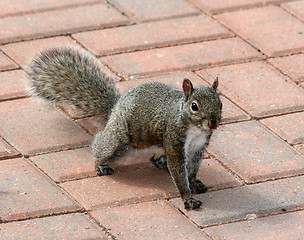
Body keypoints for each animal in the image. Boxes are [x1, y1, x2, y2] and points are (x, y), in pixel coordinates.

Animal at [28, 46, 222, 209]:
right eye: (194, 106)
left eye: (220, 103)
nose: (213, 122)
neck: (196, 129)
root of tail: (115, 108)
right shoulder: (174, 139)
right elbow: (179, 172)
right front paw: (188, 198)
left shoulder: (198, 147)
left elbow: (193, 167)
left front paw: (194, 181)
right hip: (118, 142)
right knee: (100, 146)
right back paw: (100, 164)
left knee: (155, 159)